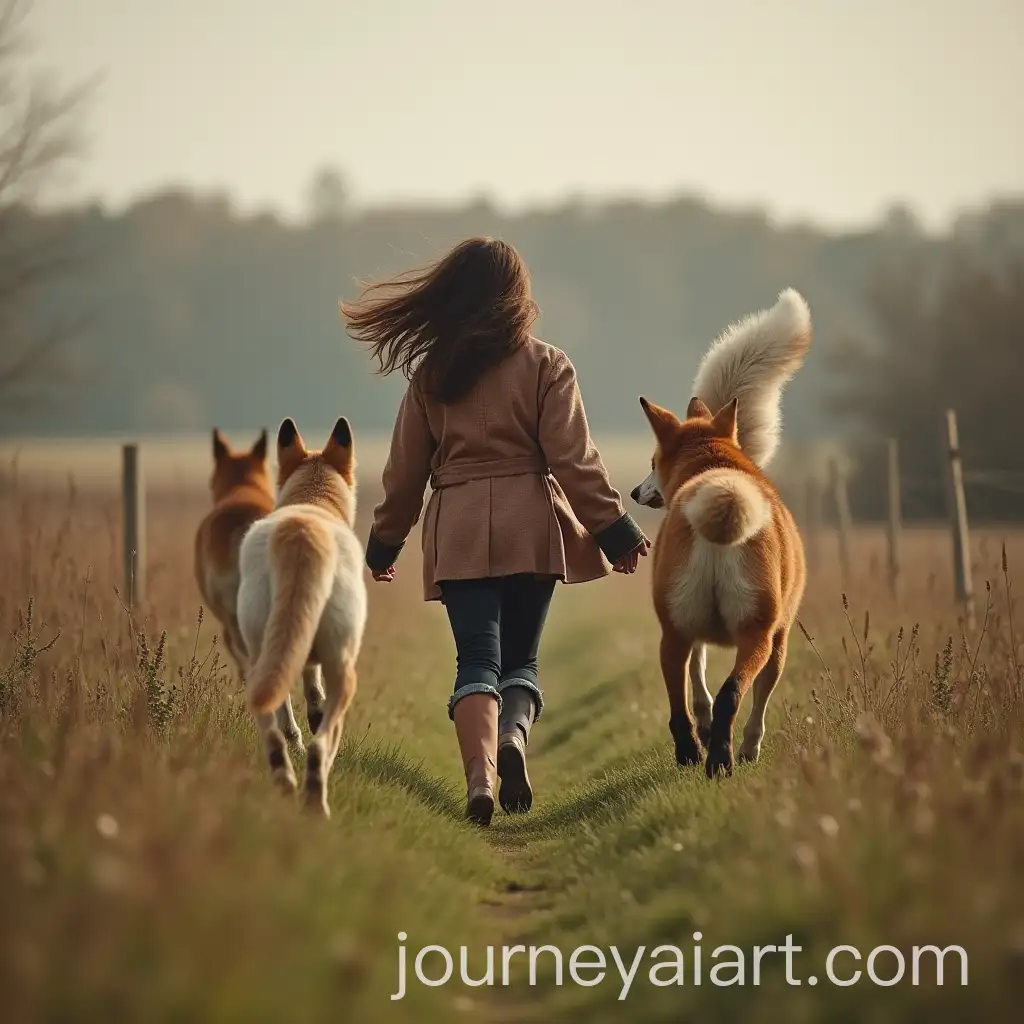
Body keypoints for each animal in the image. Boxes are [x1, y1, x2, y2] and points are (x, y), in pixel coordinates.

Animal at [236, 416, 367, 816]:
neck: (313, 501)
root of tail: (302, 533)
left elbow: (307, 683)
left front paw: (311, 710)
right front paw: (317, 714)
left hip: (258, 657)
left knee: (273, 730)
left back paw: (284, 780)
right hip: (346, 672)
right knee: (321, 746)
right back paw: (314, 803)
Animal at [630, 288, 811, 778]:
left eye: (652, 463)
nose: (635, 492)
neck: (716, 463)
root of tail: (723, 494)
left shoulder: (691, 631)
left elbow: (699, 688)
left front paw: (709, 731)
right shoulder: (780, 639)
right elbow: (759, 703)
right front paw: (749, 749)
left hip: (673, 632)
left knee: (681, 706)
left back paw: (696, 754)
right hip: (758, 636)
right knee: (733, 691)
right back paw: (724, 759)